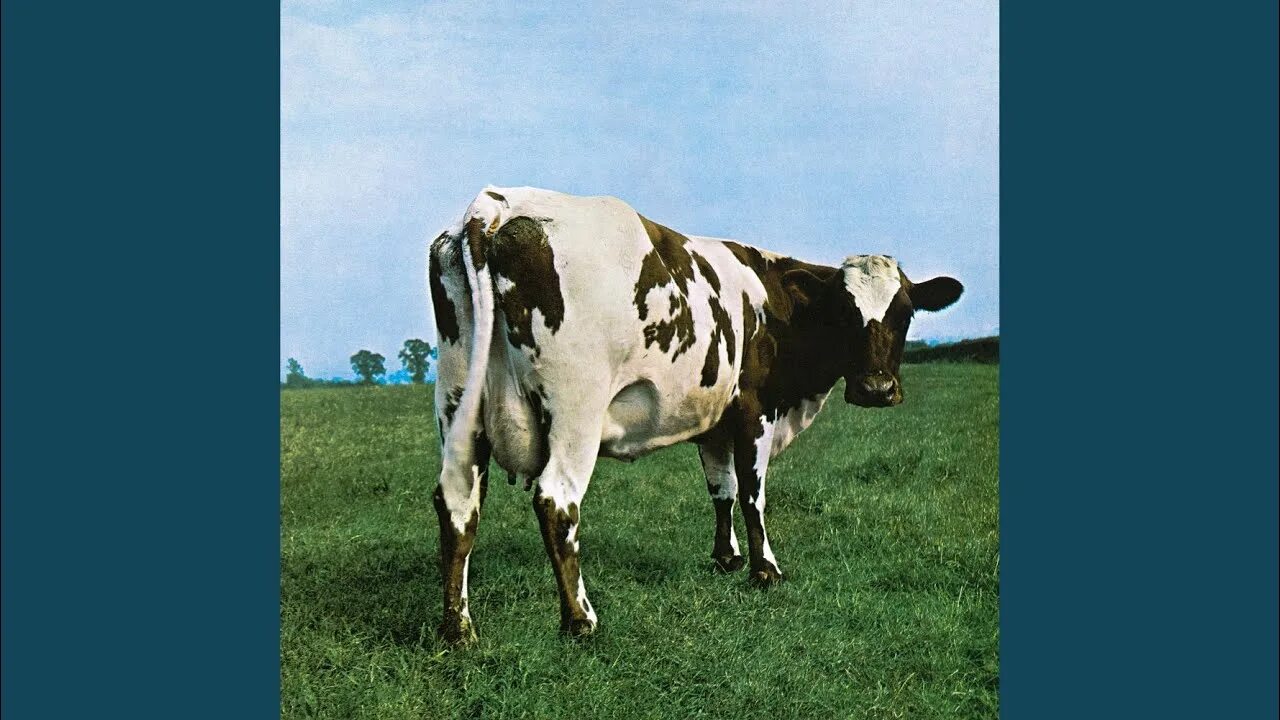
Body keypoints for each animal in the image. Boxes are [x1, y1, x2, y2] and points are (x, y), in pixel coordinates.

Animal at [428, 186, 963, 644]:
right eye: (843, 313)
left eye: (905, 313)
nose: (876, 389)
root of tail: (498, 204)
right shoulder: (754, 411)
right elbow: (752, 493)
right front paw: (765, 569)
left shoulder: (714, 421)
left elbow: (721, 489)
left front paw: (727, 558)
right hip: (575, 409)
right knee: (556, 501)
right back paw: (580, 620)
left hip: (457, 400)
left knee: (457, 500)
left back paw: (458, 629)